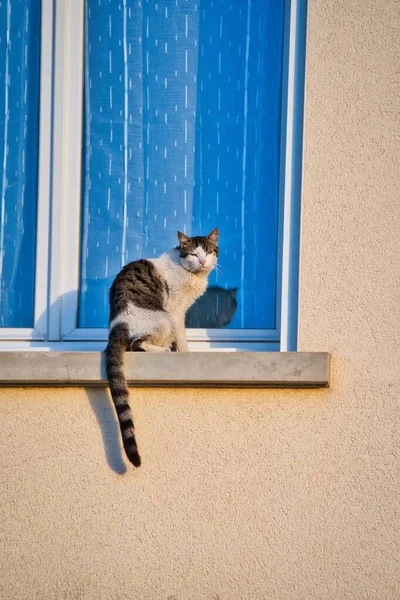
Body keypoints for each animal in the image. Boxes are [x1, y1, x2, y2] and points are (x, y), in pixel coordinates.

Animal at [104, 227, 219, 466]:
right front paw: (183, 354)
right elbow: (182, 337)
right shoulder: (176, 311)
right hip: (163, 318)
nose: (203, 261)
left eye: (208, 252)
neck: (192, 274)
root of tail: (117, 323)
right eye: (194, 254)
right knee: (136, 344)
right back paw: (164, 350)